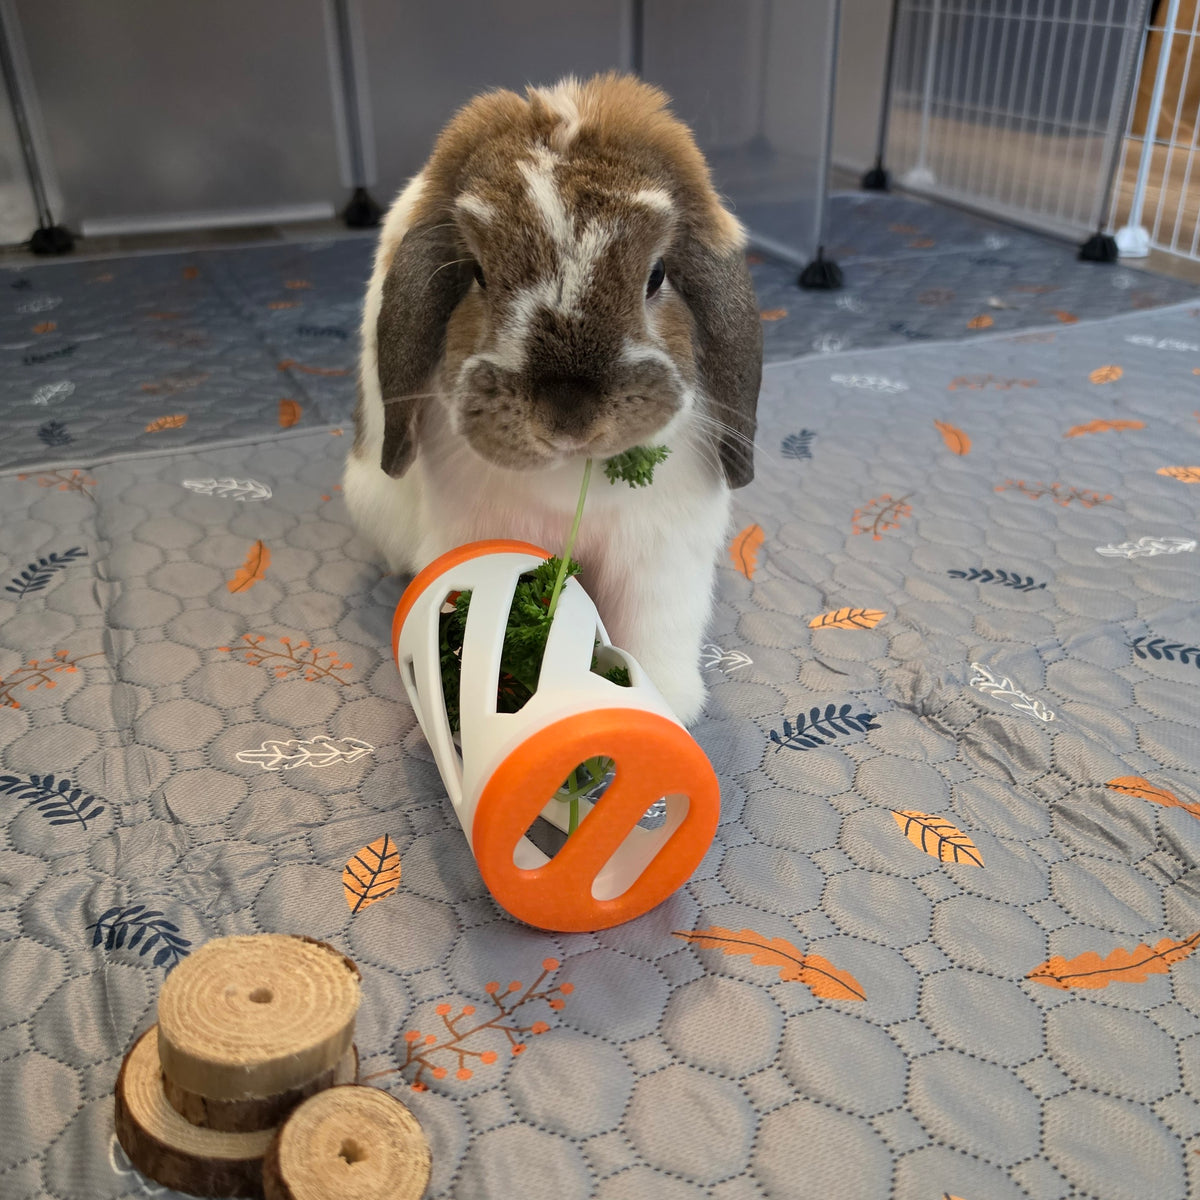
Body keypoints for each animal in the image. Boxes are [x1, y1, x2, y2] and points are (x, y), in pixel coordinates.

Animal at [343, 73, 762, 724]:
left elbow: (654, 631)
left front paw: (667, 701)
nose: (568, 418)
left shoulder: (660, 555)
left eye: (657, 275)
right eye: (479, 274)